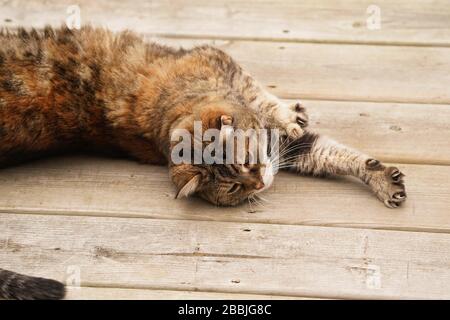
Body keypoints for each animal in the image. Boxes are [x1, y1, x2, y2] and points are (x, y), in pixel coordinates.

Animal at [0, 26, 406, 298]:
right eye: (233, 186)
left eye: (250, 160)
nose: (261, 184)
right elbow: (311, 143)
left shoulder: (223, 67)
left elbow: (317, 144)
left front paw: (380, 177)